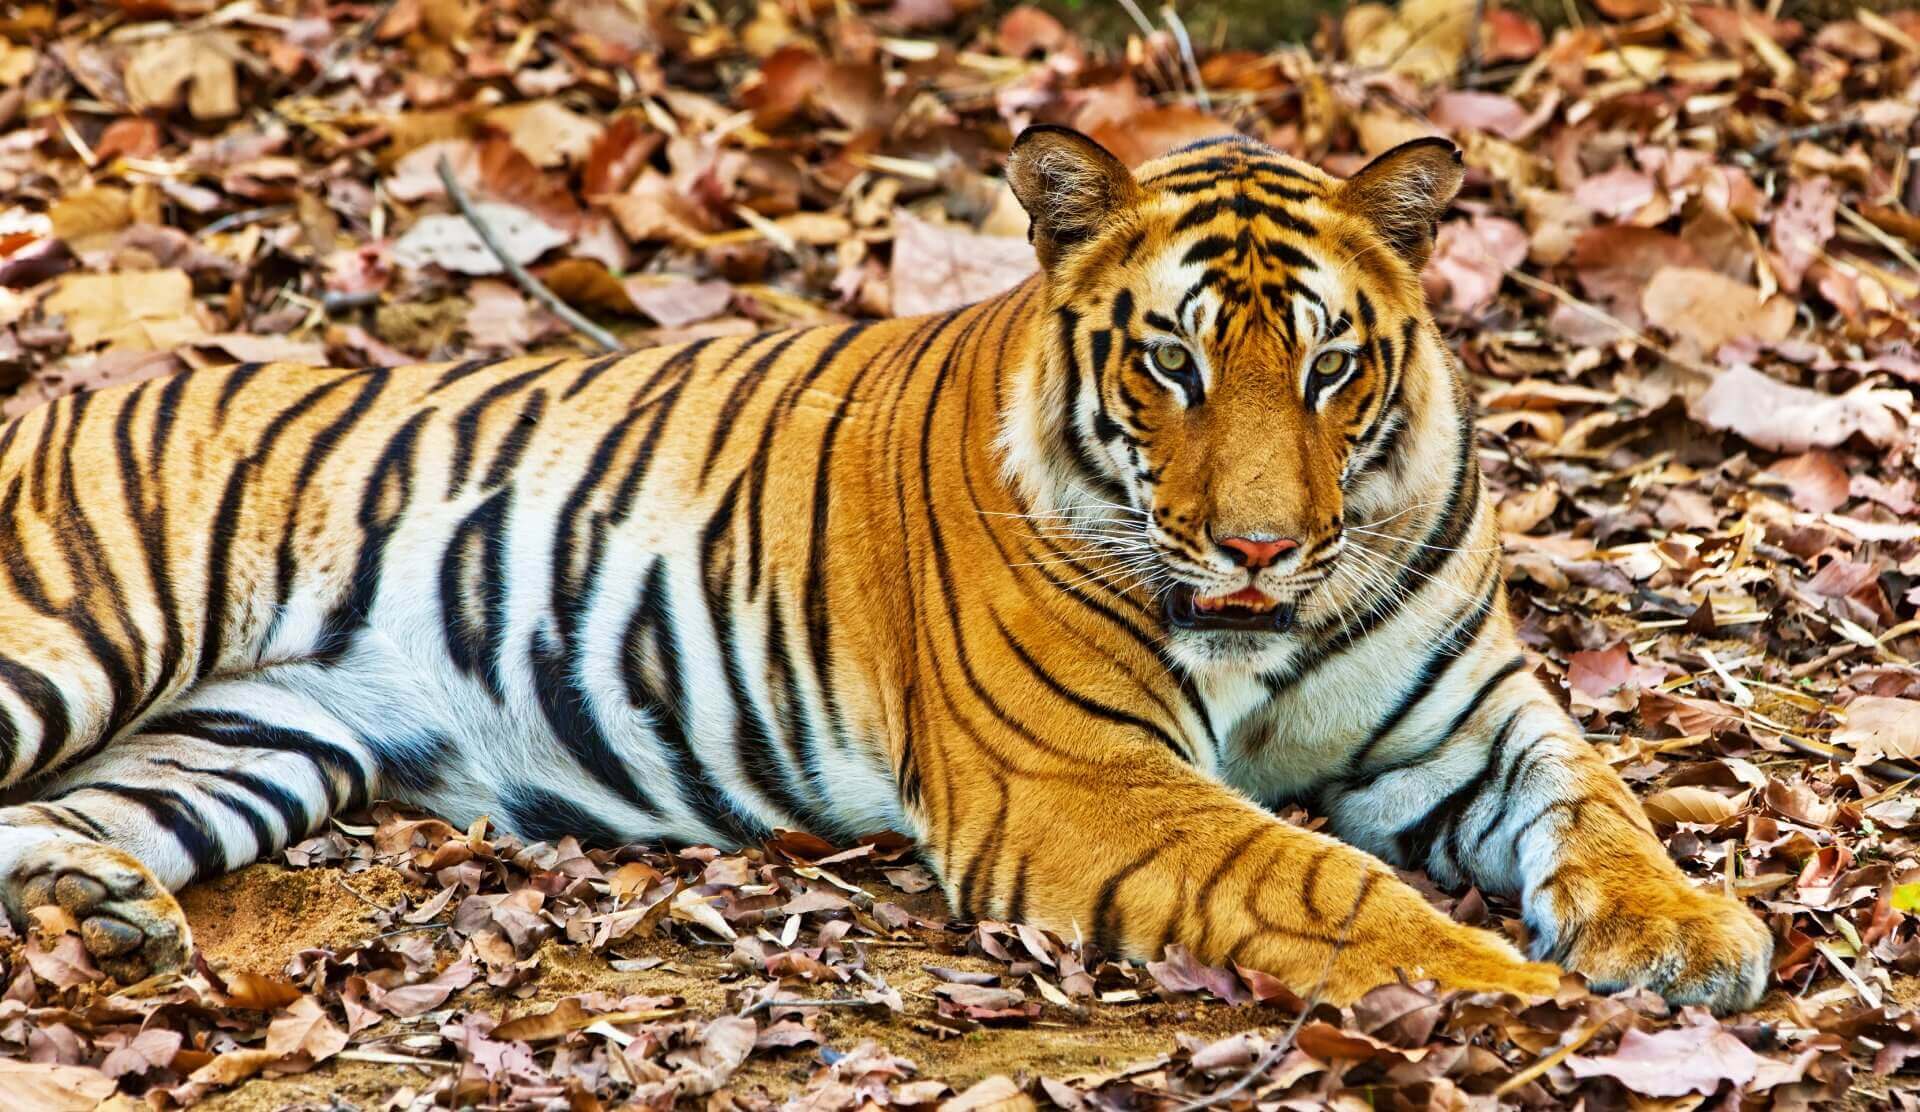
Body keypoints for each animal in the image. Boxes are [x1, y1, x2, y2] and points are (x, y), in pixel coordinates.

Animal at [0, 125, 1766, 1014]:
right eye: (1175, 366)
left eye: (1329, 369)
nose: (1262, 542)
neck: (1270, 625)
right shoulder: (1085, 780)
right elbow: (1313, 876)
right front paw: (1499, 983)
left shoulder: (1464, 721)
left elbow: (1600, 804)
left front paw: (1686, 934)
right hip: (77, 638)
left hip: (247, 744)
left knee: (53, 825)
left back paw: (107, 920)